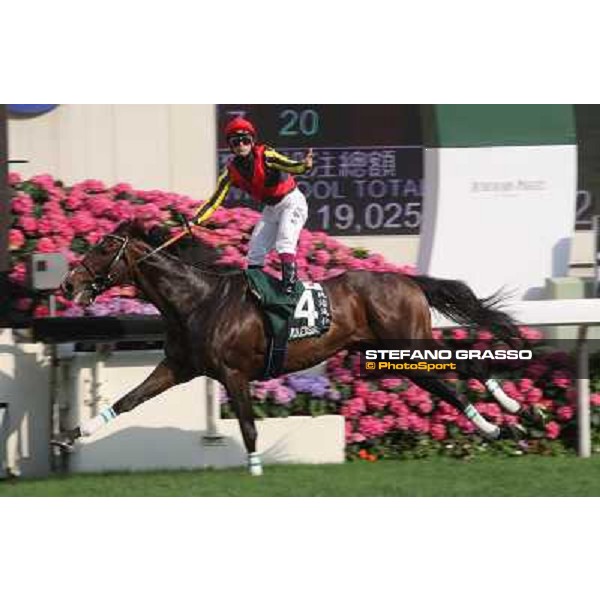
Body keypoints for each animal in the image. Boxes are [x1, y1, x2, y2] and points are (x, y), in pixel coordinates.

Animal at [56, 218, 536, 476]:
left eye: (104, 247)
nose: (67, 284)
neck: (197, 300)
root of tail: (407, 279)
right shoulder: (178, 366)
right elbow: (127, 400)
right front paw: (70, 436)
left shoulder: (233, 373)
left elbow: (249, 426)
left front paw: (254, 469)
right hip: (390, 354)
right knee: (451, 381)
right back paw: (499, 422)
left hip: (407, 342)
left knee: (461, 371)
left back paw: (505, 413)